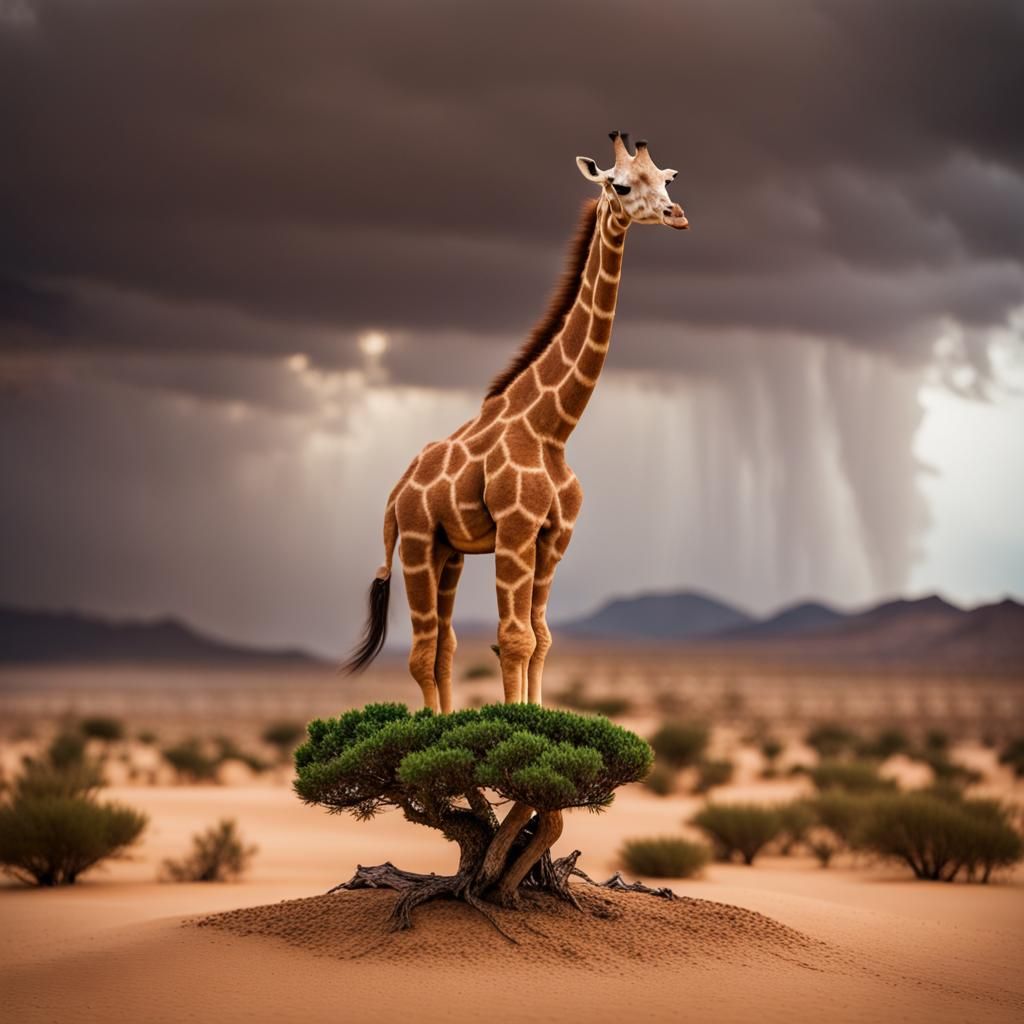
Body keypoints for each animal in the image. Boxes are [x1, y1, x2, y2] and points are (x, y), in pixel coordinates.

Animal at [343, 132, 688, 714]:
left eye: (666, 177)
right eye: (619, 185)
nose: (676, 214)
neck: (552, 426)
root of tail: (394, 495)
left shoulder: (554, 536)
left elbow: (540, 637)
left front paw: (532, 715)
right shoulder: (516, 527)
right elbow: (514, 637)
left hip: (450, 552)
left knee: (445, 646)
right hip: (416, 544)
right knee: (422, 649)